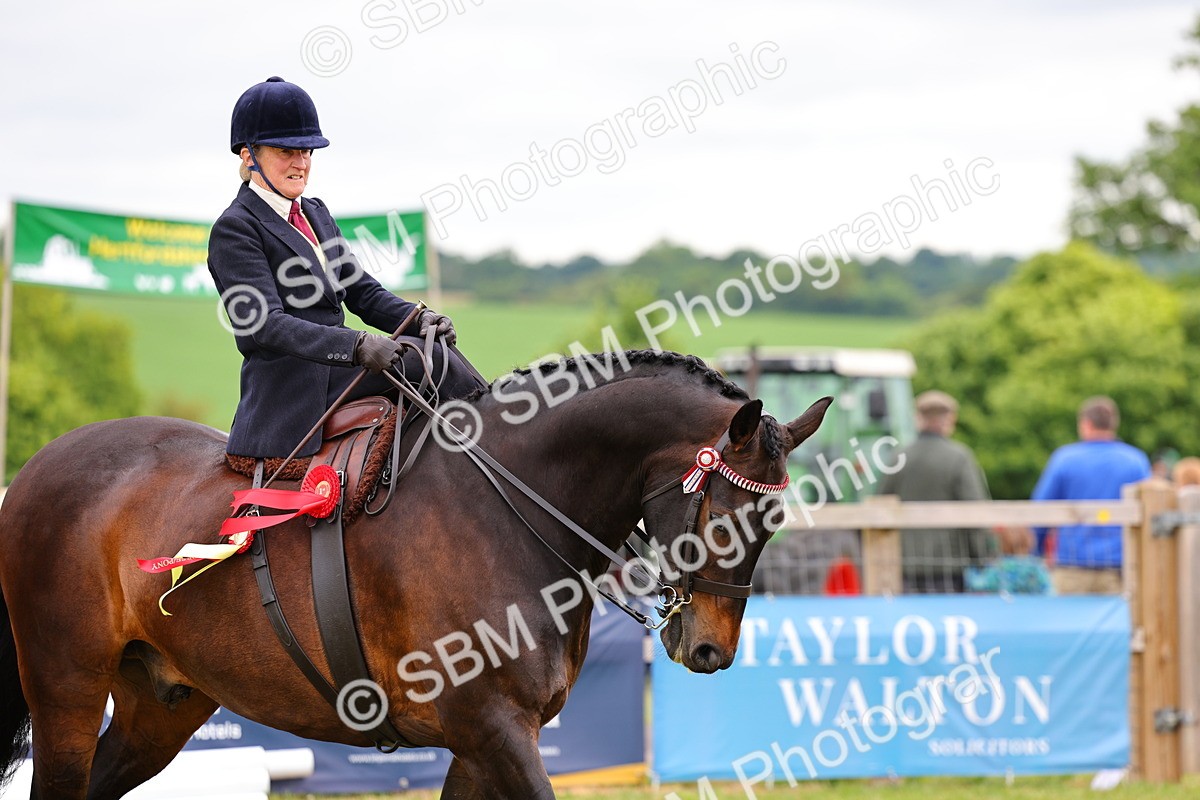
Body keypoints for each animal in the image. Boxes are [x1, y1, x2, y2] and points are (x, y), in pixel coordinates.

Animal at [0, 350, 831, 799]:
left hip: (160, 706)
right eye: (723, 515)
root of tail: (36, 466)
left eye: (773, 523)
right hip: (67, 690)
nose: (709, 650)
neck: (506, 512)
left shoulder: (481, 738)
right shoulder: (495, 728)